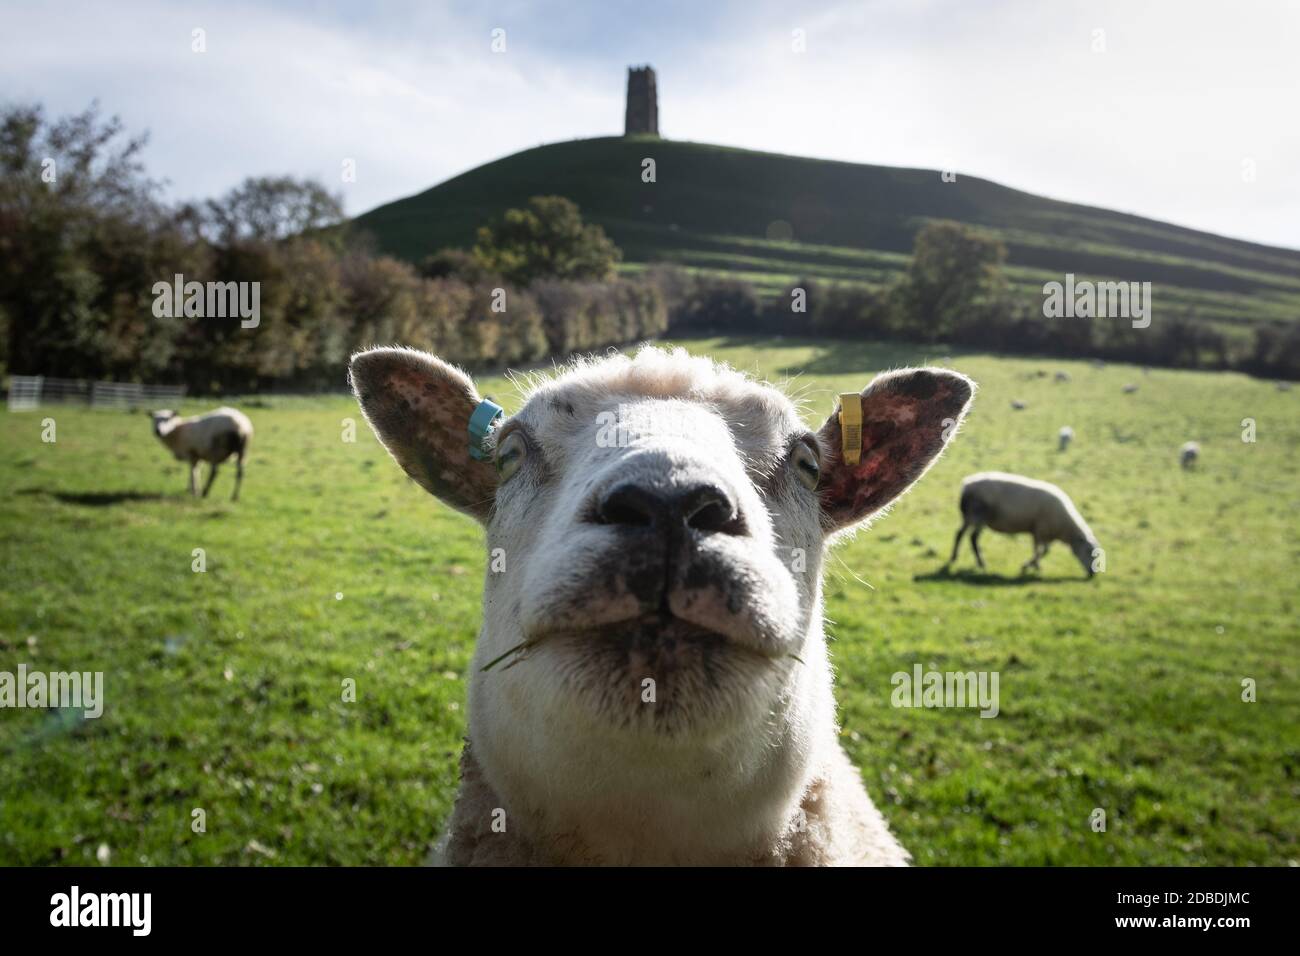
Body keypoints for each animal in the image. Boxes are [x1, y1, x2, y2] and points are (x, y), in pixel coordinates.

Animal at [946, 473, 1097, 580]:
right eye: (1089, 551)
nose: (1092, 574)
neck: (1066, 530)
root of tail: (966, 485)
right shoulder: (1040, 530)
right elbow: (1039, 551)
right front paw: (1028, 566)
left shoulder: (1043, 532)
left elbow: (1043, 551)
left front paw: (1035, 566)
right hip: (978, 517)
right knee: (973, 538)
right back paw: (981, 563)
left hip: (969, 517)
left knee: (959, 533)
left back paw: (954, 557)